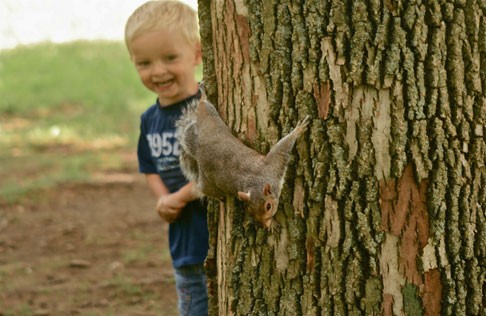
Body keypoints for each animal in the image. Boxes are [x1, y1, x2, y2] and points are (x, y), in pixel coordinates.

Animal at [177, 95, 310, 228]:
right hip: (210, 177)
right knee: (203, 189)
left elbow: (281, 148)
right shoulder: (273, 165)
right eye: (249, 211)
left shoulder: (273, 166)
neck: (256, 182)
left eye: (268, 207)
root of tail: (197, 149)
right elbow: (281, 148)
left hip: (211, 125)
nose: (264, 226)